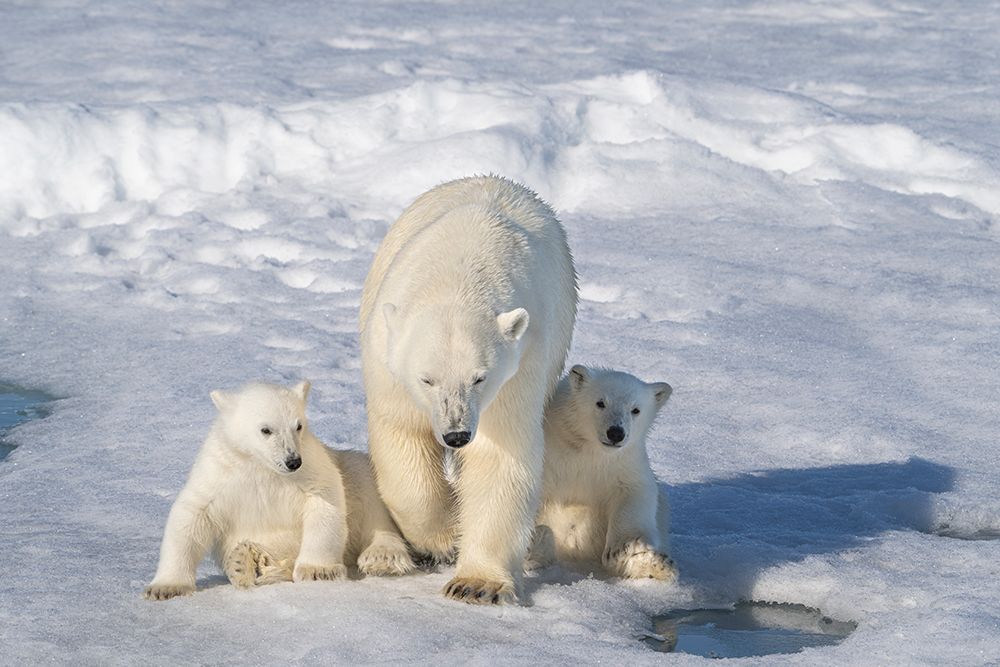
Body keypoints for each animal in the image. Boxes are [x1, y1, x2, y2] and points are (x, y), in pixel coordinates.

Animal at [144, 381, 414, 601]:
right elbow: (192, 514)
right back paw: (245, 563)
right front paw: (165, 588)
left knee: (372, 499)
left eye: (299, 426)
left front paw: (318, 571)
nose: (292, 461)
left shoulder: (312, 467)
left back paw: (382, 557)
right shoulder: (220, 474)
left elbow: (325, 503)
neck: (263, 468)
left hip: (356, 471)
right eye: (266, 429)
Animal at [359, 175, 577, 605]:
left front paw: (476, 584)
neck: (457, 276)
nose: (456, 434)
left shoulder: (520, 365)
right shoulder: (388, 356)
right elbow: (402, 435)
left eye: (480, 377)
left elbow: (498, 455)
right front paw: (444, 537)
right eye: (426, 378)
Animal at [529, 365, 677, 581]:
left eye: (635, 410)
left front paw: (624, 548)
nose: (615, 432)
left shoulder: (623, 463)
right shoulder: (550, 454)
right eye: (600, 402)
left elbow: (635, 493)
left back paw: (657, 565)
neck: (589, 449)